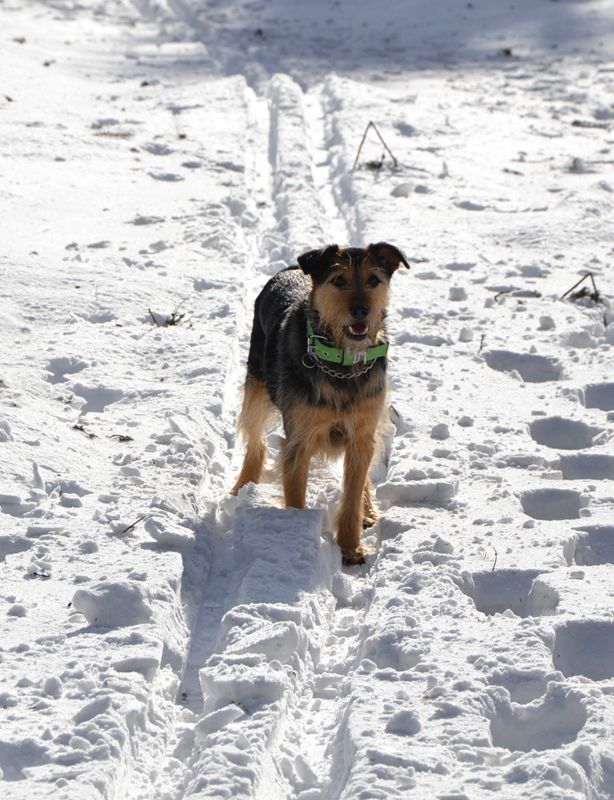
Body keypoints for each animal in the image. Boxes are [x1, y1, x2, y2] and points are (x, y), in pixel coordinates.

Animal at [231, 242, 410, 564]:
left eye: (374, 280)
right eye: (338, 280)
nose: (361, 311)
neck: (343, 362)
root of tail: (291, 269)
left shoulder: (361, 433)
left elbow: (352, 493)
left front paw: (351, 548)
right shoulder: (299, 440)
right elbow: (295, 495)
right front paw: (298, 537)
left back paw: (368, 510)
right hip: (257, 385)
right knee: (255, 440)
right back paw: (241, 488)